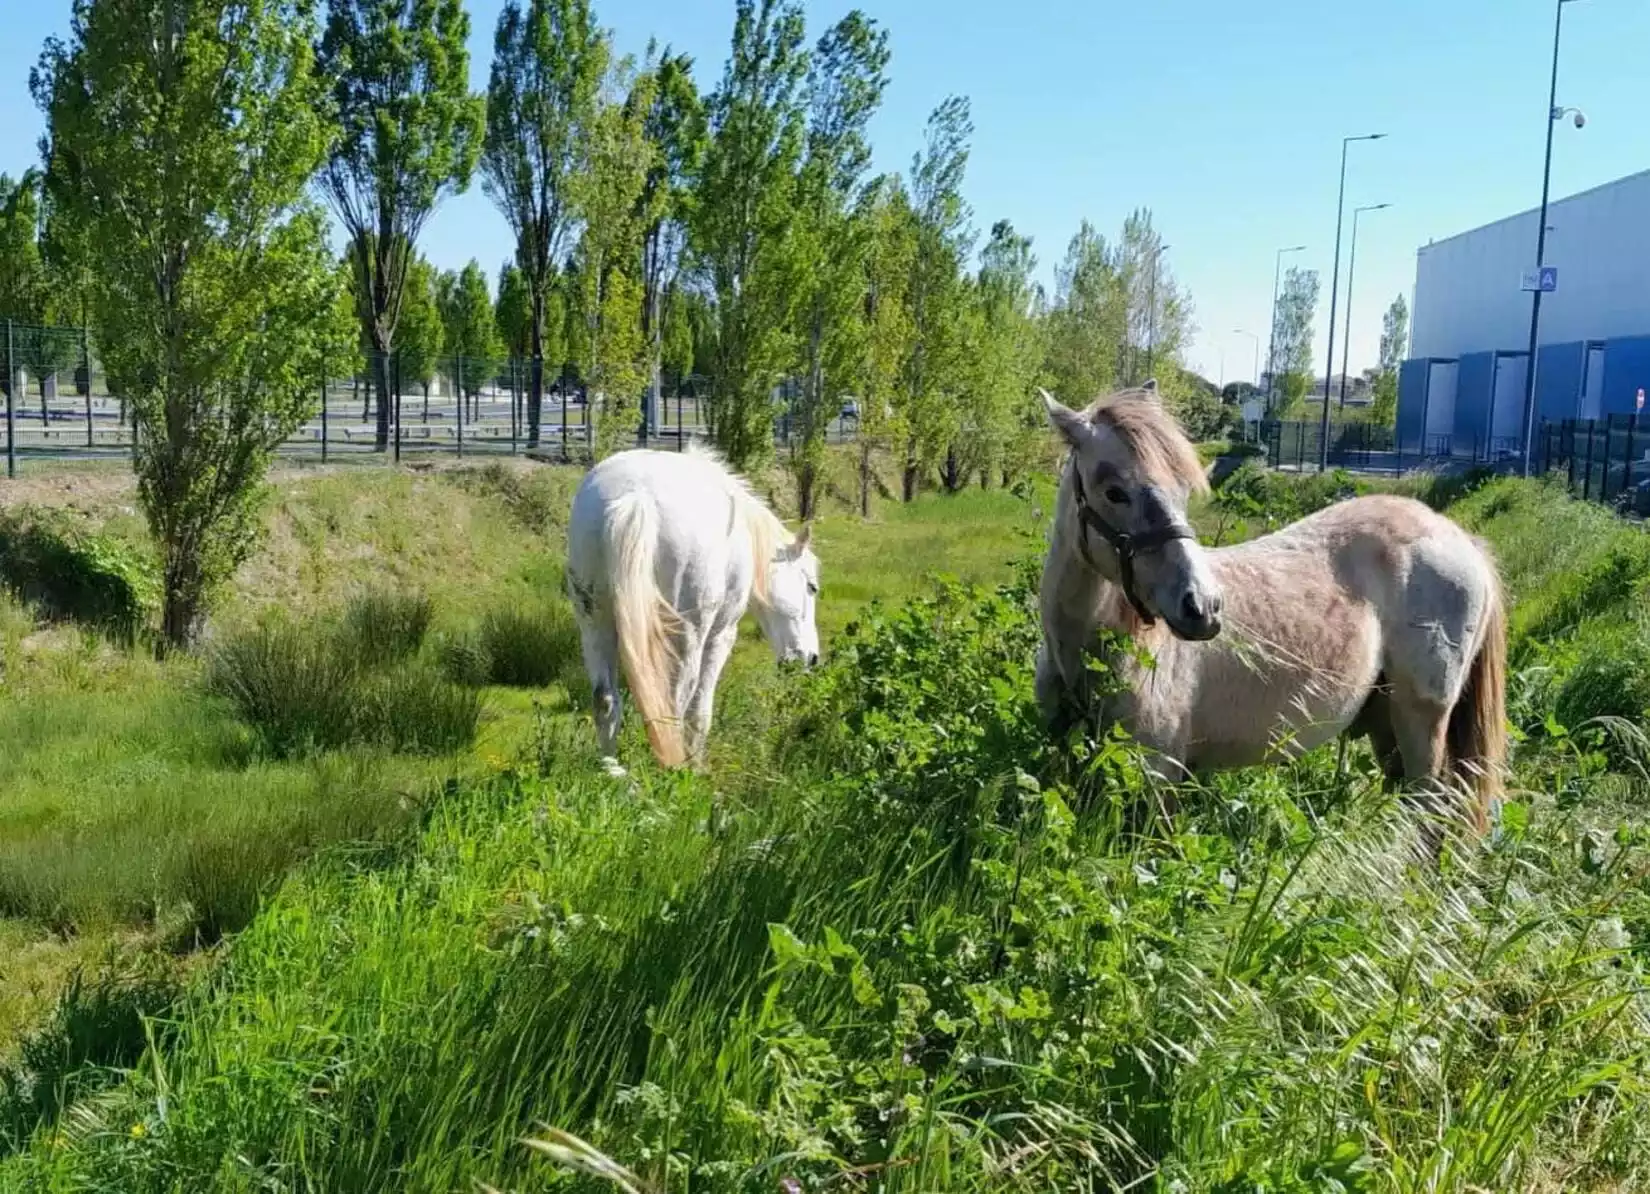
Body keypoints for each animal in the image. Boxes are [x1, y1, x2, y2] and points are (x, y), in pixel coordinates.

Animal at [567, 445, 825, 775]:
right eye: (812, 587)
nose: (810, 658)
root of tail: (635, 499)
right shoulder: (720, 636)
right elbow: (700, 710)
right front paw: (698, 766)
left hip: (595, 625)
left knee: (605, 700)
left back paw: (612, 771)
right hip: (688, 637)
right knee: (674, 706)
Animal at [1036, 384, 1511, 850]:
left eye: (1183, 491)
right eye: (1115, 491)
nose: (1203, 607)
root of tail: (1459, 537)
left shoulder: (1158, 773)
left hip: (1422, 720)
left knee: (1430, 808)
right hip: (1387, 724)